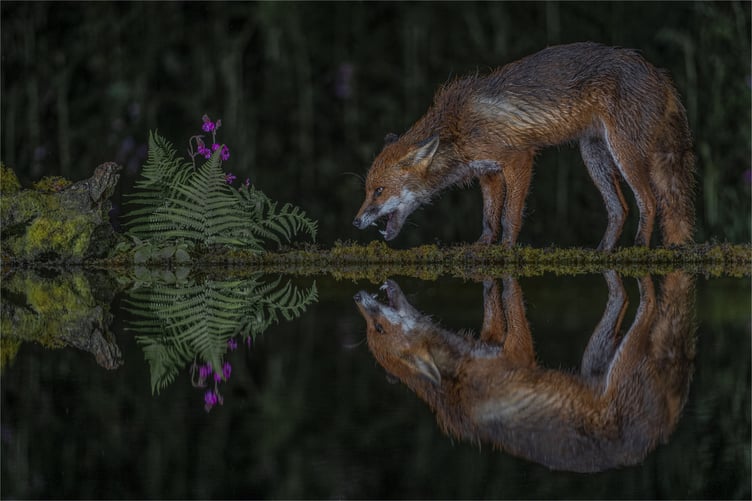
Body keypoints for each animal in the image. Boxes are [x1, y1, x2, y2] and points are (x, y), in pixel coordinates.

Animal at [353, 42, 695, 250]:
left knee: (649, 201)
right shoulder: (488, 172)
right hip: (593, 155)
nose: (355, 222)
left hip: (623, 152)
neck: (456, 126)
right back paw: (604, 252)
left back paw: (639, 246)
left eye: (378, 191)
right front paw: (481, 248)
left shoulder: (518, 158)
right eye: (367, 190)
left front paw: (506, 248)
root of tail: (660, 74)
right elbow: (489, 218)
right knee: (619, 209)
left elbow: (509, 216)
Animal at [353, 272, 696, 472]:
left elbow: (500, 300)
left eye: (377, 329)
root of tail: (662, 432)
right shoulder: (518, 352)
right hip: (621, 361)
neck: (457, 379)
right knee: (649, 305)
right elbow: (512, 300)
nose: (356, 296)